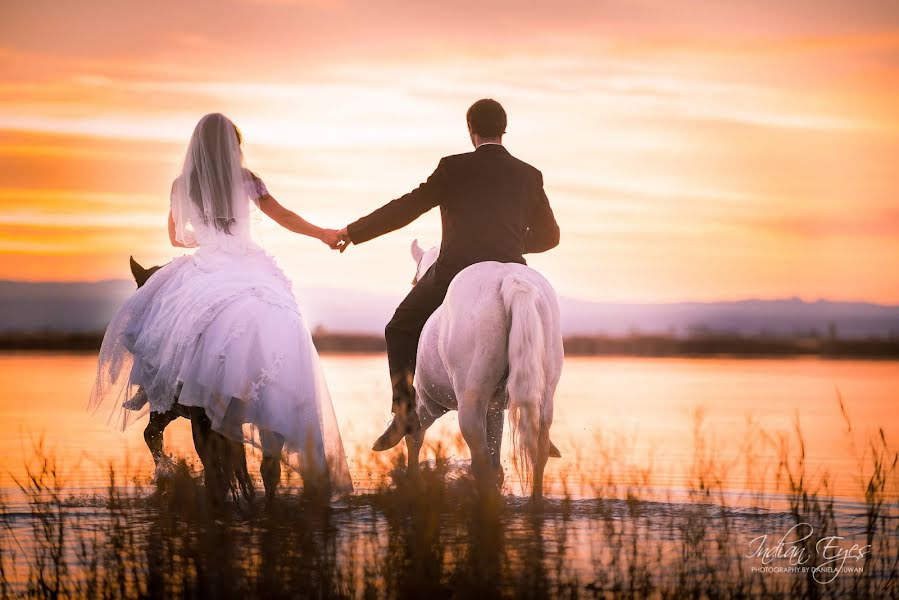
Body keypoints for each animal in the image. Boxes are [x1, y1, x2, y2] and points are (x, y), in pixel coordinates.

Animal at [406, 241, 564, 500]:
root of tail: (510, 278)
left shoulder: (425, 402)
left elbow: (414, 437)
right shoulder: (494, 409)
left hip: (470, 404)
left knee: (479, 462)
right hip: (543, 397)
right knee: (537, 453)